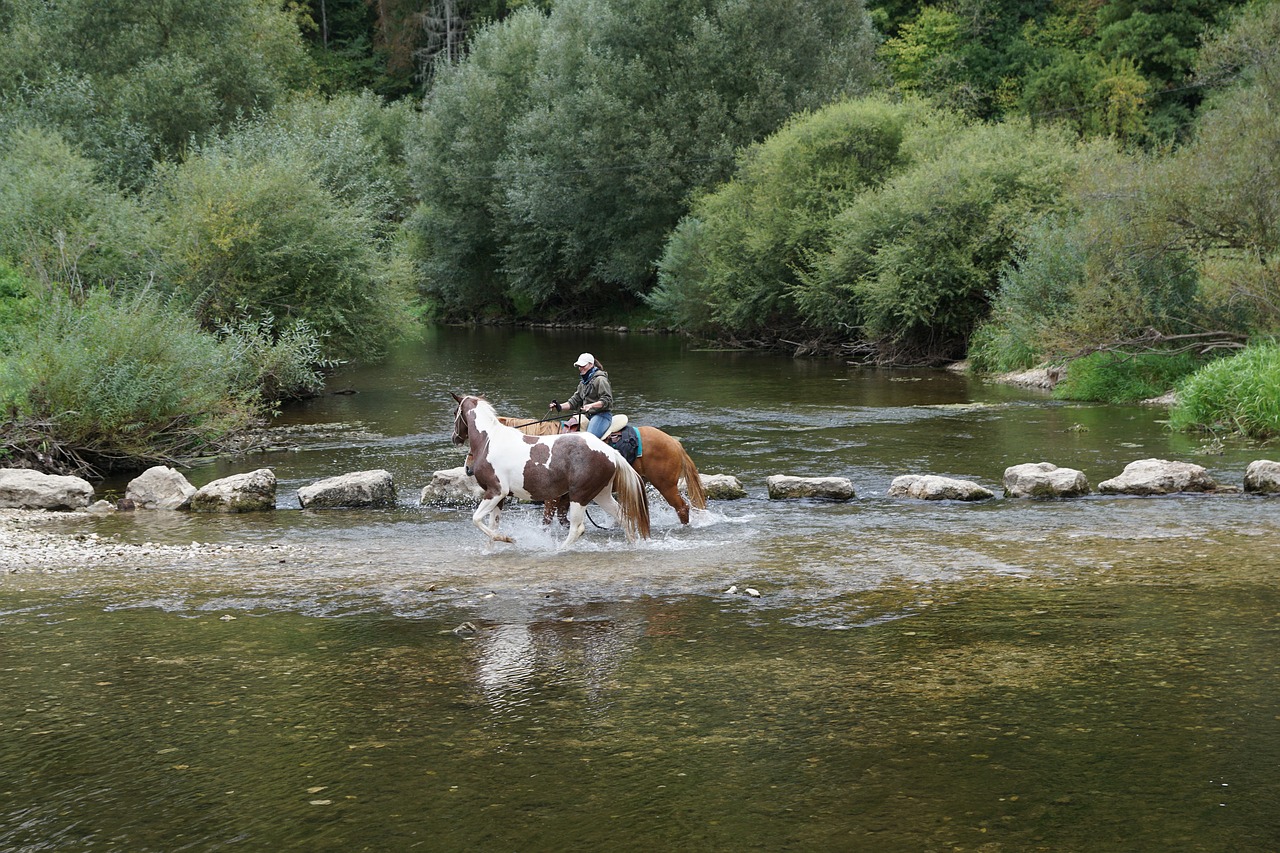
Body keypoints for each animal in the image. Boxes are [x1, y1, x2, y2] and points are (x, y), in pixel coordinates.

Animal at [450, 389, 650, 545]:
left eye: (454, 413)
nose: (455, 438)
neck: (489, 440)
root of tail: (610, 452)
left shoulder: (496, 492)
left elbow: (476, 519)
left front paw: (508, 539)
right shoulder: (499, 497)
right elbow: (492, 527)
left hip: (579, 496)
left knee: (577, 529)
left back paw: (559, 550)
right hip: (601, 494)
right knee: (623, 517)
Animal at [496, 409, 711, 522]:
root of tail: (675, 443)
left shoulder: (553, 495)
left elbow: (548, 519)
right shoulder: (564, 495)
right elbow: (562, 518)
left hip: (666, 485)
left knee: (682, 508)